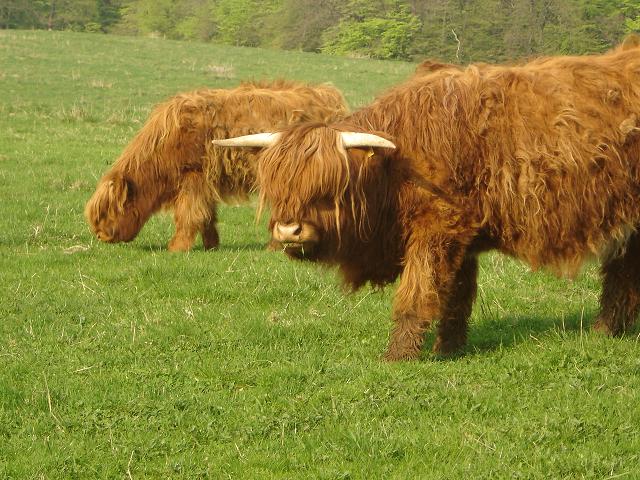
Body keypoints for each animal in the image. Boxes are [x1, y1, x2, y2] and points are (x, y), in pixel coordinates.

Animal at [84, 79, 350, 251]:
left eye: (109, 211)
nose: (101, 235)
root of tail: (328, 96)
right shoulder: (204, 183)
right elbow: (207, 216)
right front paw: (211, 244)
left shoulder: (194, 177)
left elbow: (189, 214)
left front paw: (177, 247)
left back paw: (276, 246)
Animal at [214, 38, 640, 360]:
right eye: (278, 189)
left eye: (327, 188)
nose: (290, 230)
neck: (394, 167)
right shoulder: (462, 237)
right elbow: (456, 296)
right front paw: (448, 348)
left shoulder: (436, 229)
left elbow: (418, 293)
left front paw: (399, 355)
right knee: (622, 272)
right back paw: (606, 331)